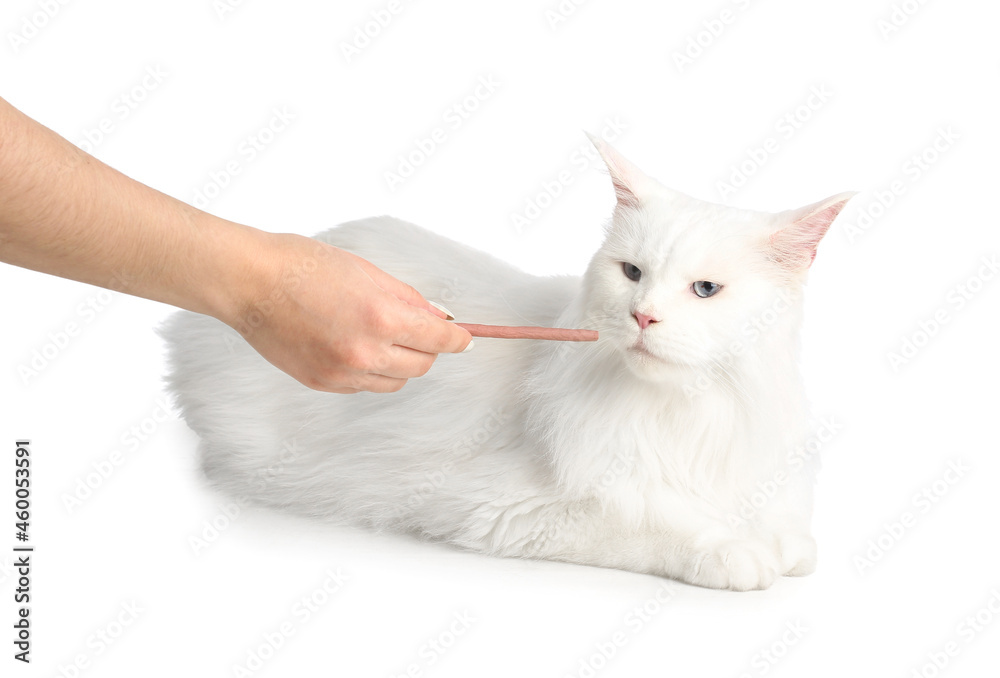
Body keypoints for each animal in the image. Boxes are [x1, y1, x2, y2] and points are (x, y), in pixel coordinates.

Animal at [162, 137, 852, 588]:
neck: (687, 411)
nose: (643, 317)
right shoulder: (511, 509)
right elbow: (657, 522)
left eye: (705, 291)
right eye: (632, 273)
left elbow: (779, 521)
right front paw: (737, 552)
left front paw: (782, 543)